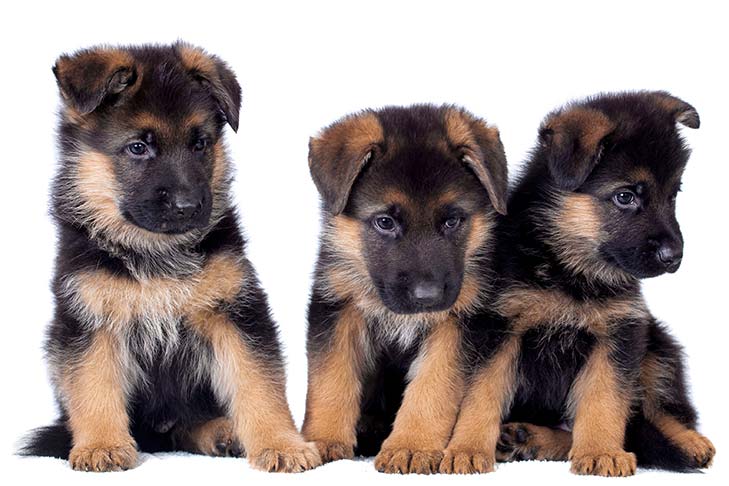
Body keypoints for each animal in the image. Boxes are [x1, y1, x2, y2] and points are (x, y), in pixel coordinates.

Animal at [18, 42, 320, 474]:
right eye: (138, 147)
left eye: (200, 144)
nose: (187, 206)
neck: (155, 252)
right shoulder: (89, 320)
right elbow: (94, 386)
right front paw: (101, 445)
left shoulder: (235, 312)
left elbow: (258, 383)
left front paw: (281, 444)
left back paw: (222, 432)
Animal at [300, 104, 506, 472]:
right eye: (385, 222)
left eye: (452, 220)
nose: (428, 297)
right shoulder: (338, 308)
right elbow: (330, 379)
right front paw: (324, 439)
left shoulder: (456, 324)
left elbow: (432, 388)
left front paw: (412, 446)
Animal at [440, 92, 712, 478]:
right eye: (626, 197)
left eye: (673, 194)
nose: (675, 257)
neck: (570, 269)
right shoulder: (499, 329)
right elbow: (482, 394)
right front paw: (467, 448)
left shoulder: (619, 332)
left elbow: (604, 400)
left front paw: (601, 452)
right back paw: (528, 438)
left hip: (656, 345)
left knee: (657, 409)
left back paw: (688, 441)